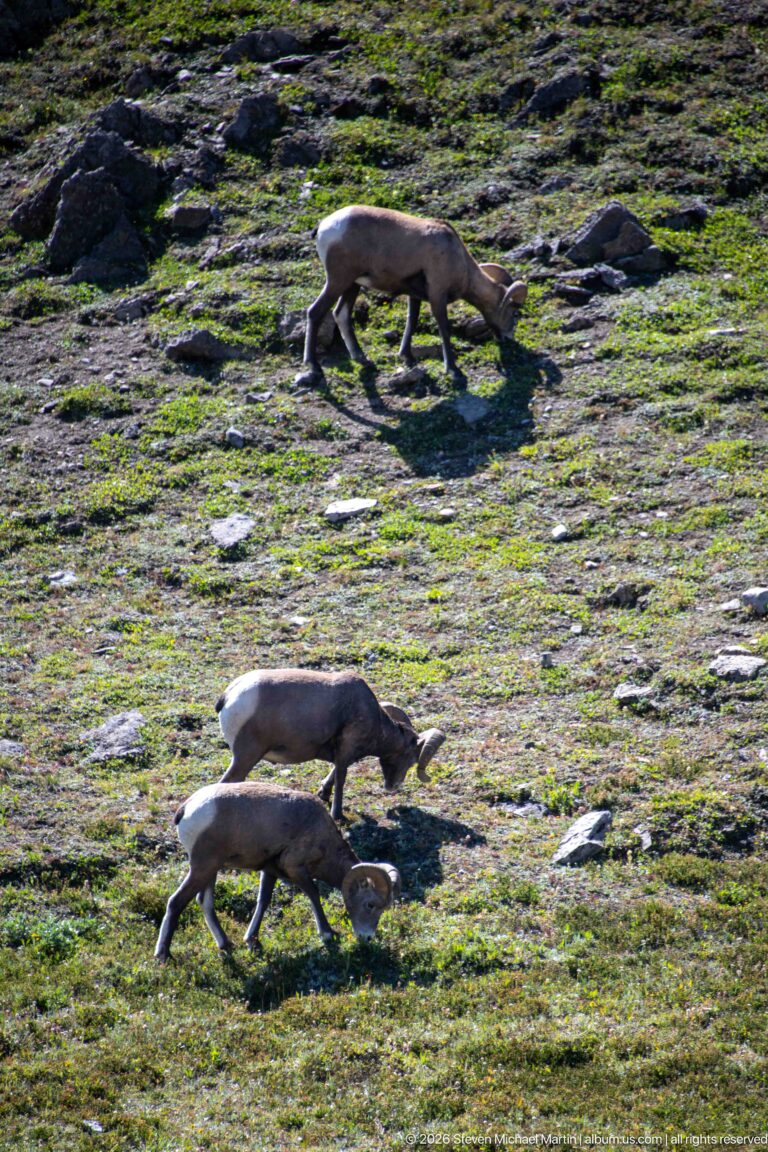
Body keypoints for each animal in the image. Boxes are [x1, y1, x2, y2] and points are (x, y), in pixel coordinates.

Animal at [154, 781, 401, 960]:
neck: (322, 836)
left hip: (210, 870)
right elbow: (314, 895)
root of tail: (186, 809)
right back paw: (164, 955)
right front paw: (328, 934)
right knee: (176, 902)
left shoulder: (269, 871)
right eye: (370, 905)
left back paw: (225, 945)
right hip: (202, 868)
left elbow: (263, 901)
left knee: (204, 903)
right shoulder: (296, 869)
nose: (367, 938)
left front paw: (252, 941)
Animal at [216, 668, 446, 821]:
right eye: (410, 758)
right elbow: (341, 779)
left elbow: (334, 773)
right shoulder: (346, 752)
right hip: (246, 757)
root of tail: (229, 696)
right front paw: (338, 815)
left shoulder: (342, 754)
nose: (394, 786)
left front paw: (323, 794)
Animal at [296, 204, 528, 386]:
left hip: (352, 285)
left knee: (341, 314)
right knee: (315, 312)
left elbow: (412, 321)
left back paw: (362, 359)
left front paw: (406, 356)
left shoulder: (414, 296)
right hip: (338, 280)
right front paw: (453, 370)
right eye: (514, 312)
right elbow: (443, 328)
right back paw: (314, 367)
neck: (456, 255)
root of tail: (324, 227)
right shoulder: (437, 294)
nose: (508, 338)